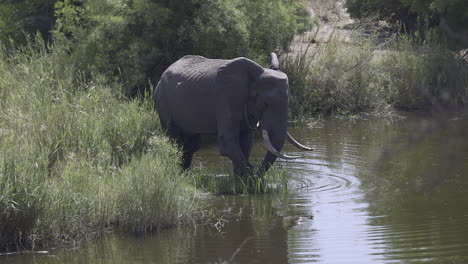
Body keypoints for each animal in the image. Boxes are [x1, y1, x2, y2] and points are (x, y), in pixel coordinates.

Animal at [154, 52, 312, 176]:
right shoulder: (226, 96)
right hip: (163, 101)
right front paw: (251, 178)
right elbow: (228, 142)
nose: (259, 173)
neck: (253, 77)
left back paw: (185, 174)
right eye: (265, 104)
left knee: (192, 144)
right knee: (174, 139)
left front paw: (241, 179)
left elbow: (246, 142)